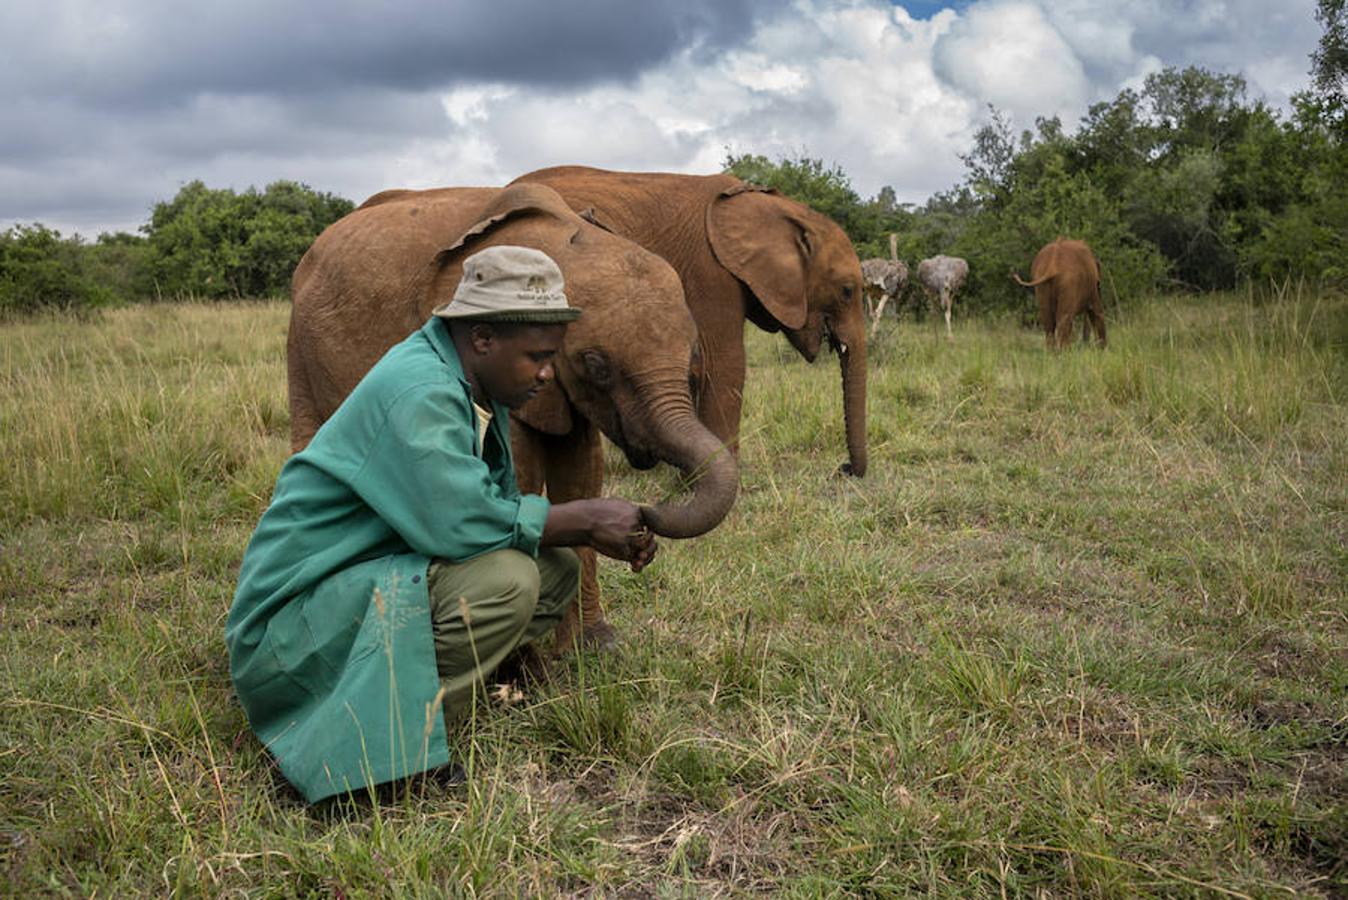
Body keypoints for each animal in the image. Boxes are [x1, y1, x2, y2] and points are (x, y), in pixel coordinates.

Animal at [285, 180, 744, 646]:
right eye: (596, 364)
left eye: (692, 359)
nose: (645, 512)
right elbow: (513, 481)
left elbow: (579, 472)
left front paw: (595, 647)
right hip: (301, 345)